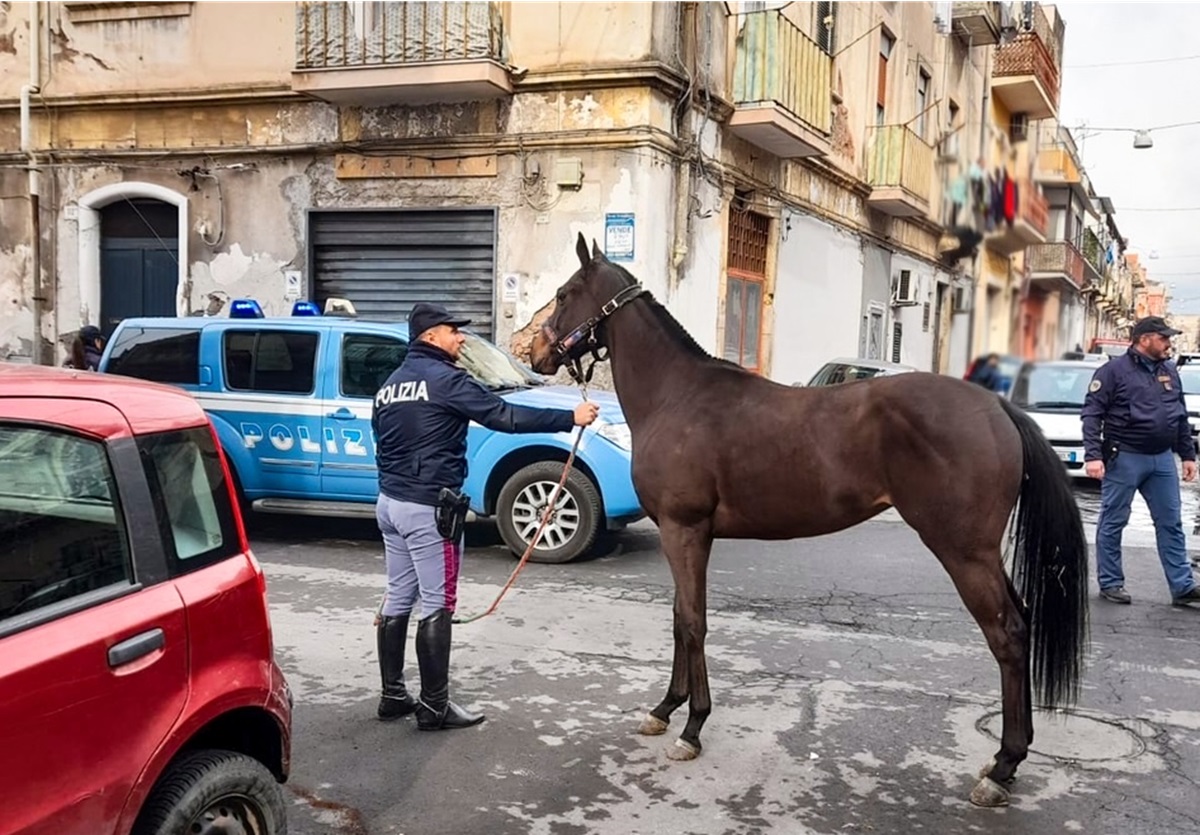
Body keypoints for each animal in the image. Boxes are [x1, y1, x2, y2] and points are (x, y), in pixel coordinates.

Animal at [528, 233, 1090, 808]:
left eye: (565, 293)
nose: (535, 352)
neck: (676, 395)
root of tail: (998, 408)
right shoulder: (682, 534)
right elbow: (680, 619)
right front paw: (666, 709)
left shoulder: (685, 531)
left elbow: (692, 622)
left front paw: (692, 727)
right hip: (980, 553)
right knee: (1020, 623)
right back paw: (1010, 761)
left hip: (963, 552)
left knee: (1008, 634)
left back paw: (1002, 766)